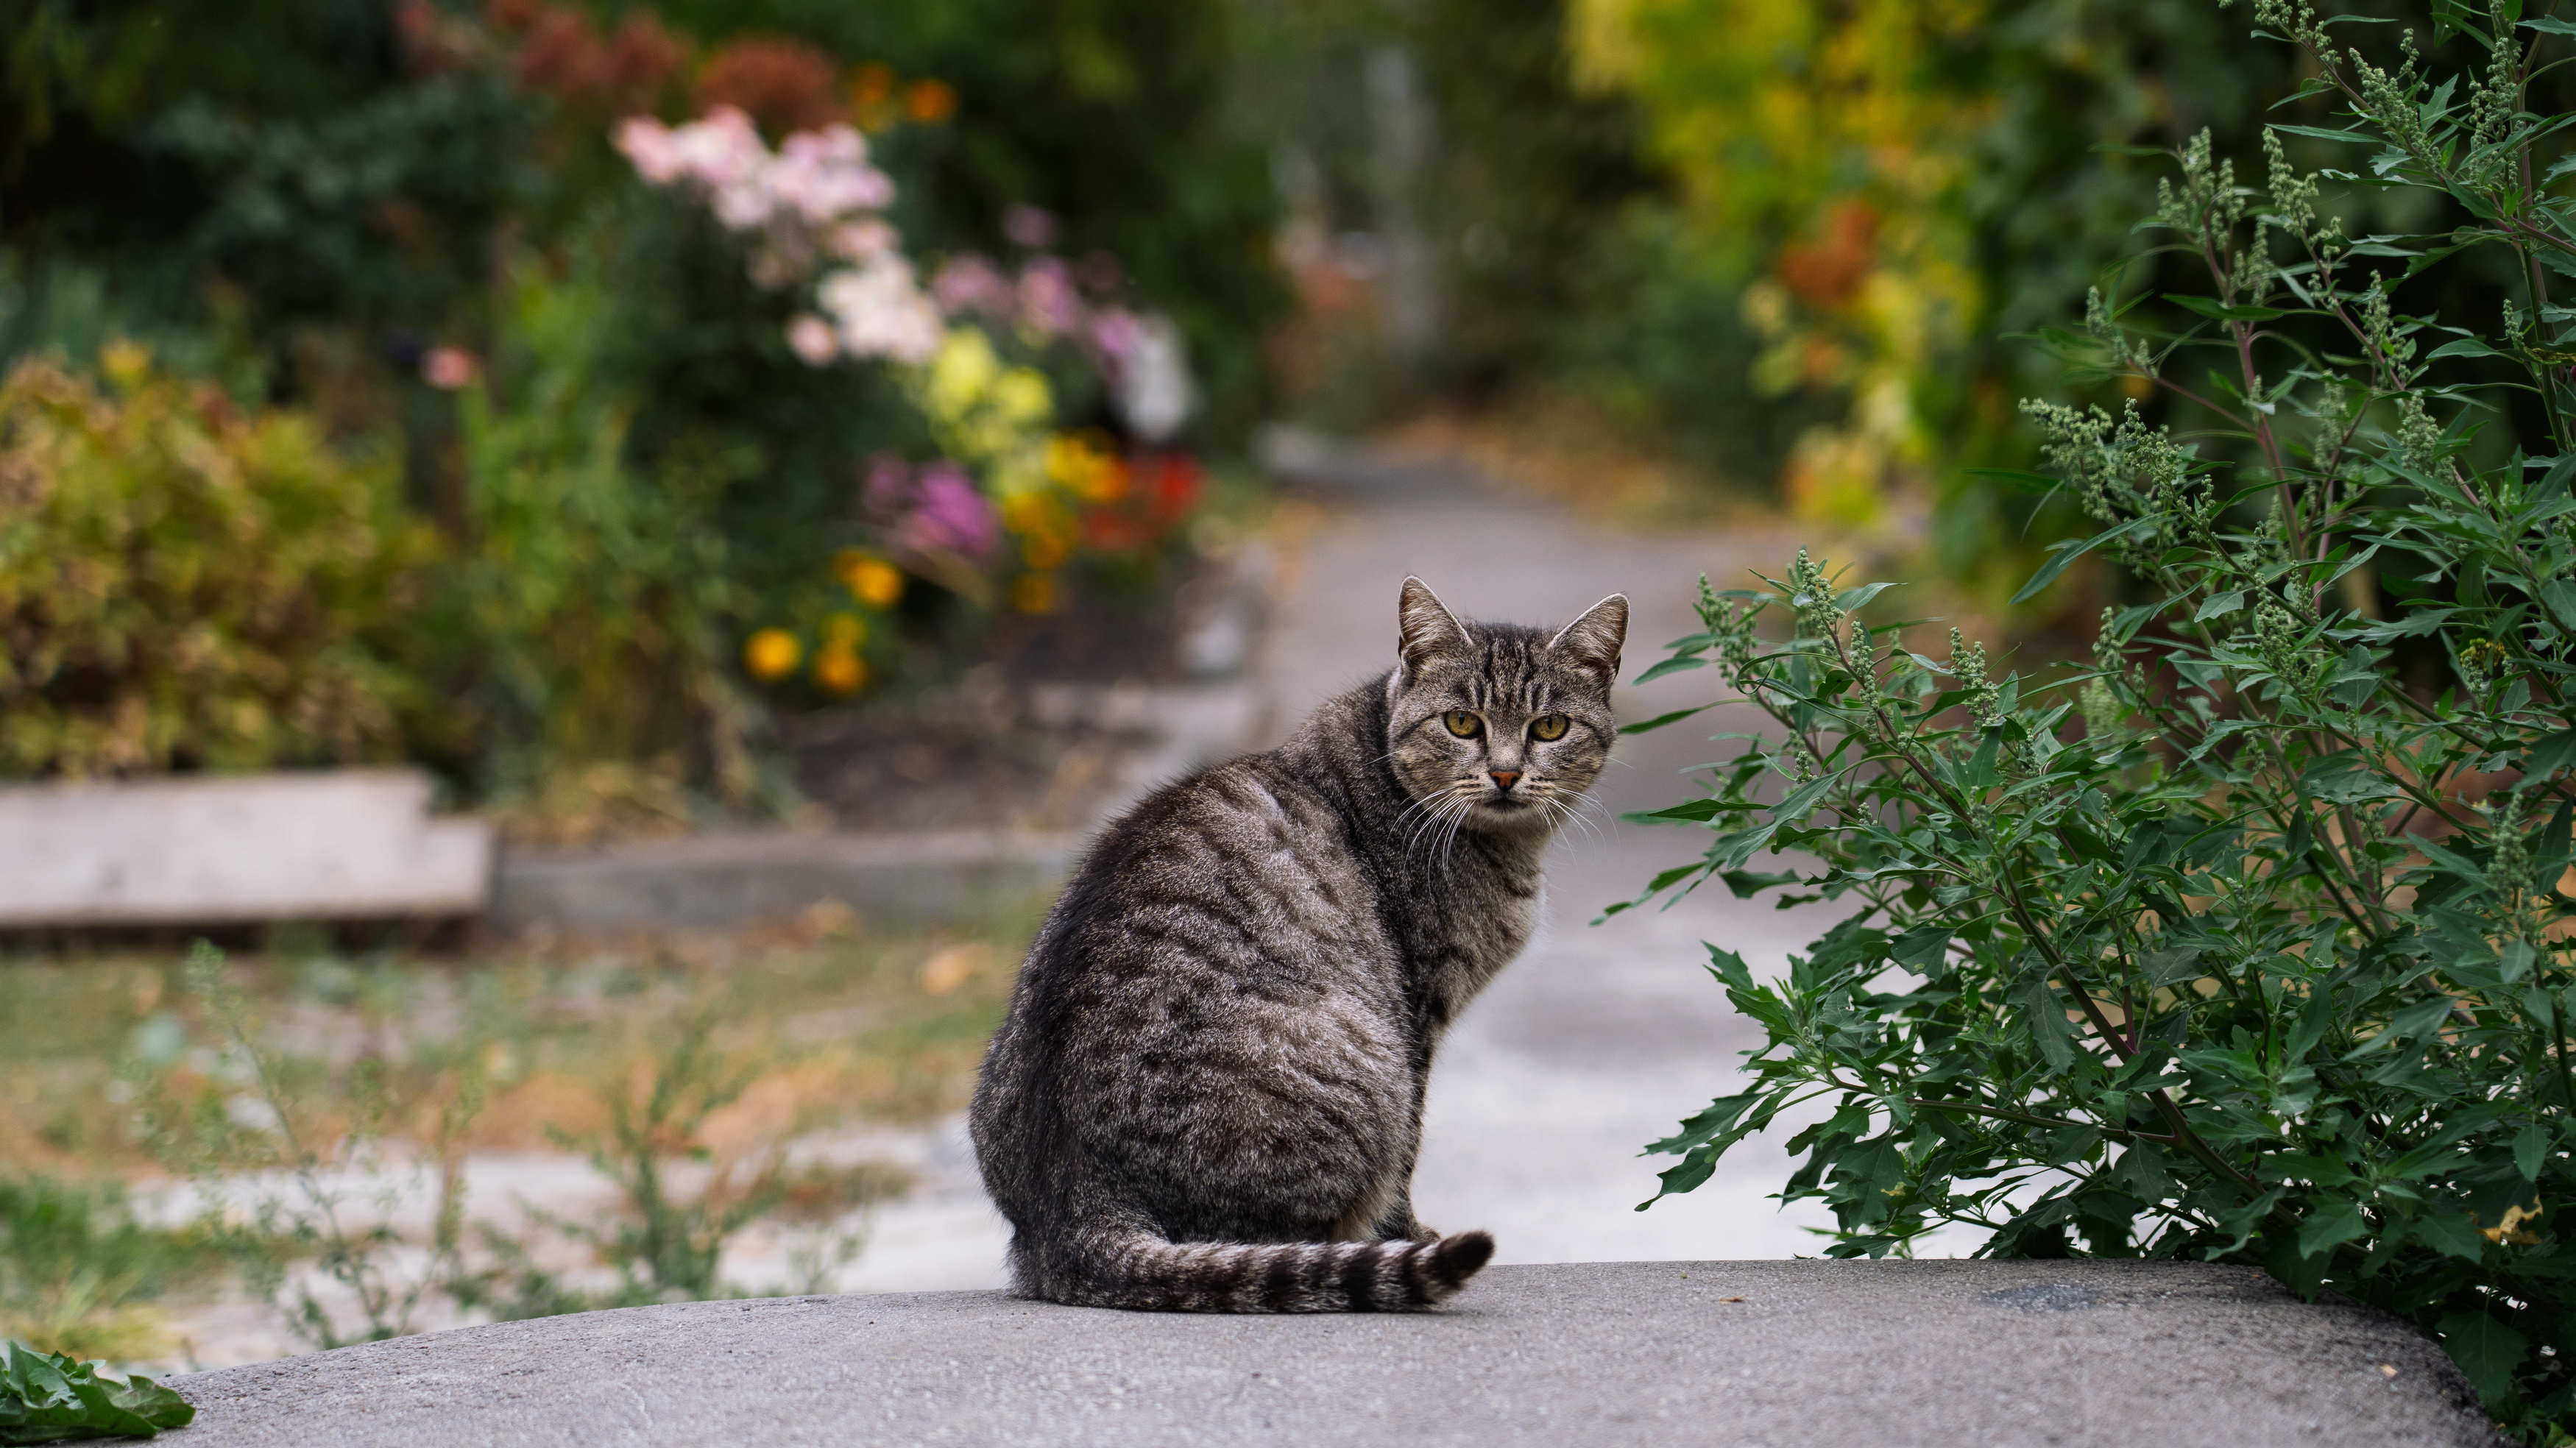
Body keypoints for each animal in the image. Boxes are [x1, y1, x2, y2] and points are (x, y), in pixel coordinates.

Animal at [969, 574, 1628, 1308]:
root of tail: (1074, 1211)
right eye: (1462, 723)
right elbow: (1408, 1155)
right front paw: (1407, 1234)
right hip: (1370, 1055)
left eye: (1550, 727)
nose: (1507, 774)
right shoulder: (1417, 1016)